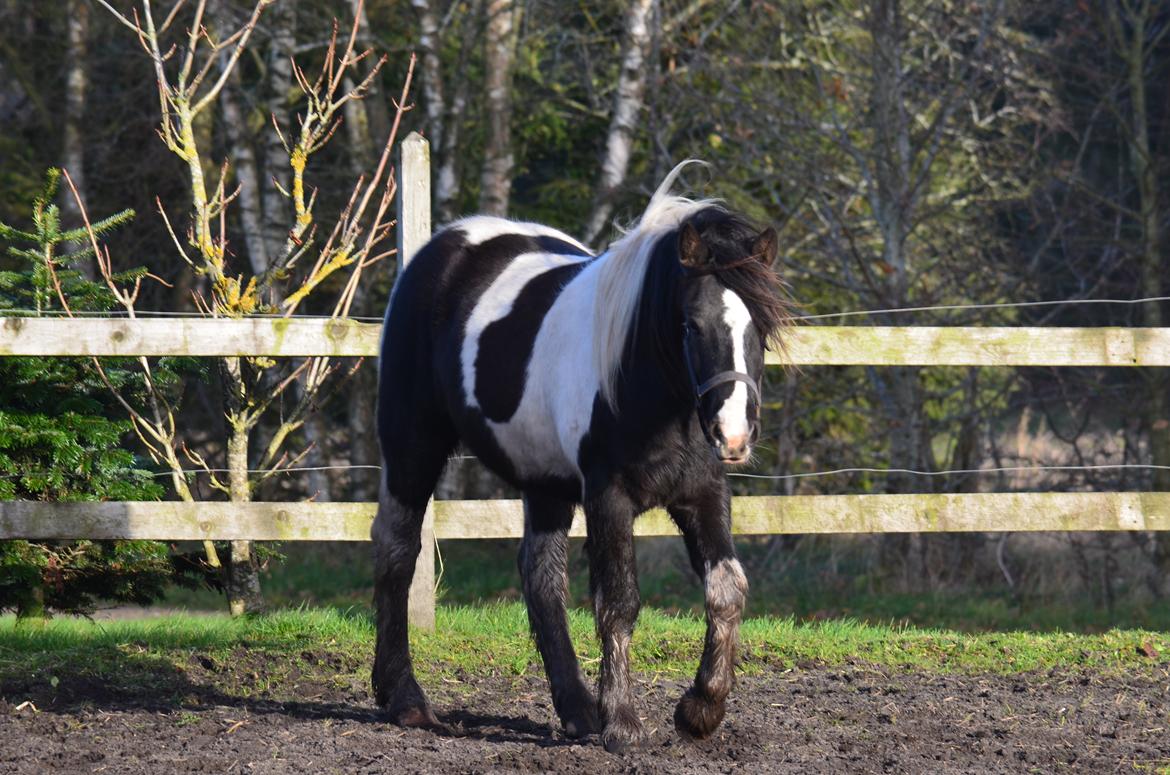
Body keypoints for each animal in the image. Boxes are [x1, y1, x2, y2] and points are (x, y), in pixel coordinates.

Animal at [372, 165, 786, 753]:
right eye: (690, 325)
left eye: (761, 330)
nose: (732, 434)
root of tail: (442, 246)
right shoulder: (608, 497)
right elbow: (618, 601)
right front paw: (625, 723)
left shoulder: (703, 494)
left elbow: (728, 590)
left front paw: (700, 711)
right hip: (412, 446)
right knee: (397, 552)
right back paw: (405, 700)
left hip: (544, 483)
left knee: (541, 578)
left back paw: (577, 710)